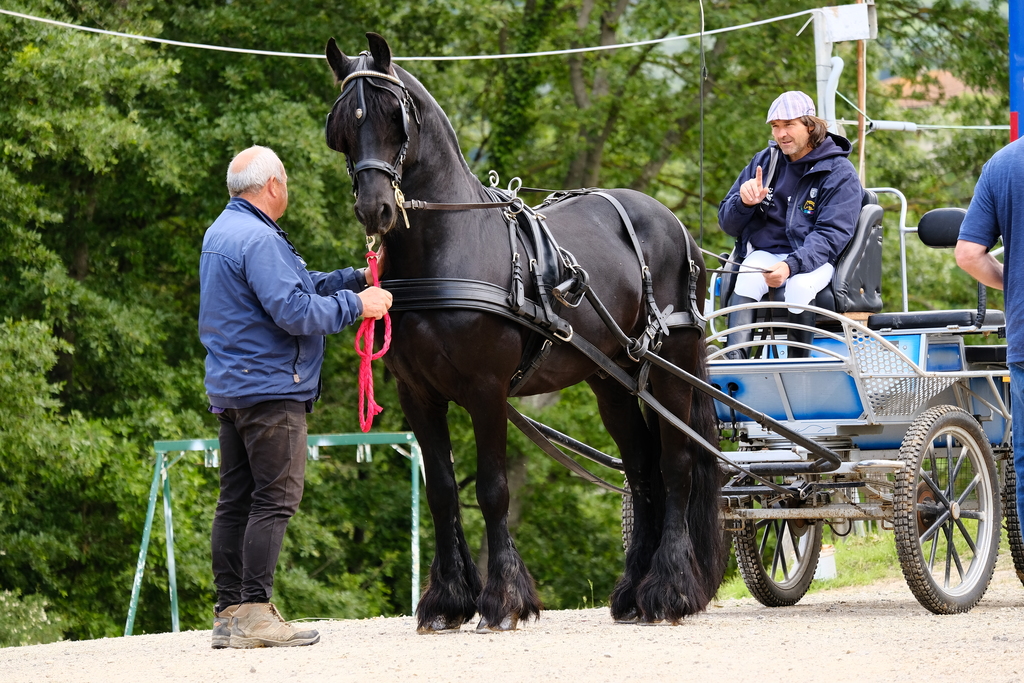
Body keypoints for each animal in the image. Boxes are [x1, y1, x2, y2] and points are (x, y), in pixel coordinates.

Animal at [324, 32, 725, 631]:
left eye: (396, 118)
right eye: (343, 129)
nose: (375, 210)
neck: (446, 246)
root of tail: (673, 222)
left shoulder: (486, 390)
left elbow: (492, 489)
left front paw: (503, 599)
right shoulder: (417, 395)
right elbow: (442, 490)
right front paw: (448, 599)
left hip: (672, 363)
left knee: (676, 464)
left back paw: (669, 590)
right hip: (612, 378)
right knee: (641, 469)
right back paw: (633, 589)